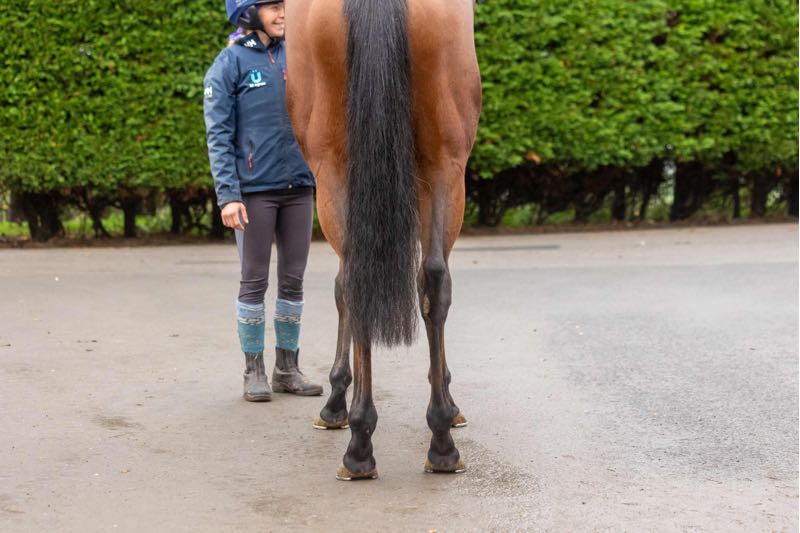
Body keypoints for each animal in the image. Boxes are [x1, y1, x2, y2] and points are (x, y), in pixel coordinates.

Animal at [285, 0, 481, 480]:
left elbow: (342, 289)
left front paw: (337, 401)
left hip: (341, 171)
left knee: (363, 281)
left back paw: (362, 443)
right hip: (444, 165)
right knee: (432, 280)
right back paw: (436, 441)